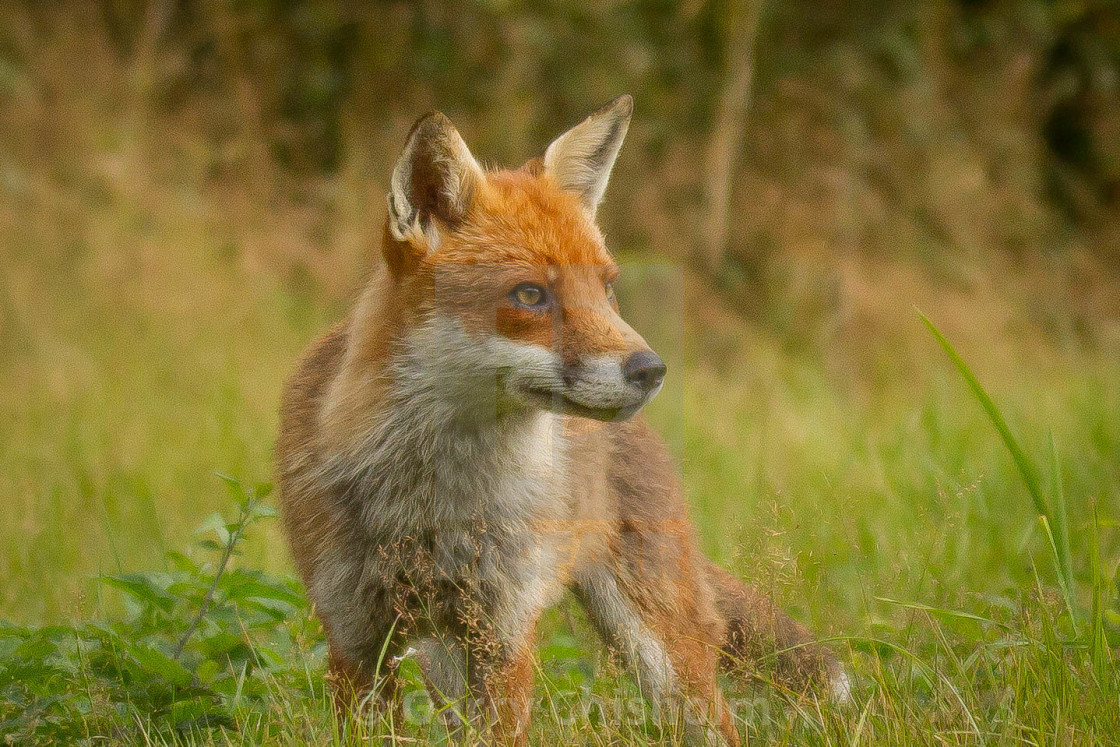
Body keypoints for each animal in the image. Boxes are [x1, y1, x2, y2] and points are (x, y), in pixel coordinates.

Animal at [275, 96, 842, 743]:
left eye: (607, 287)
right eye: (529, 295)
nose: (651, 369)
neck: (431, 503)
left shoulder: (503, 633)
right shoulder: (354, 635)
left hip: (663, 655)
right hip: (442, 660)